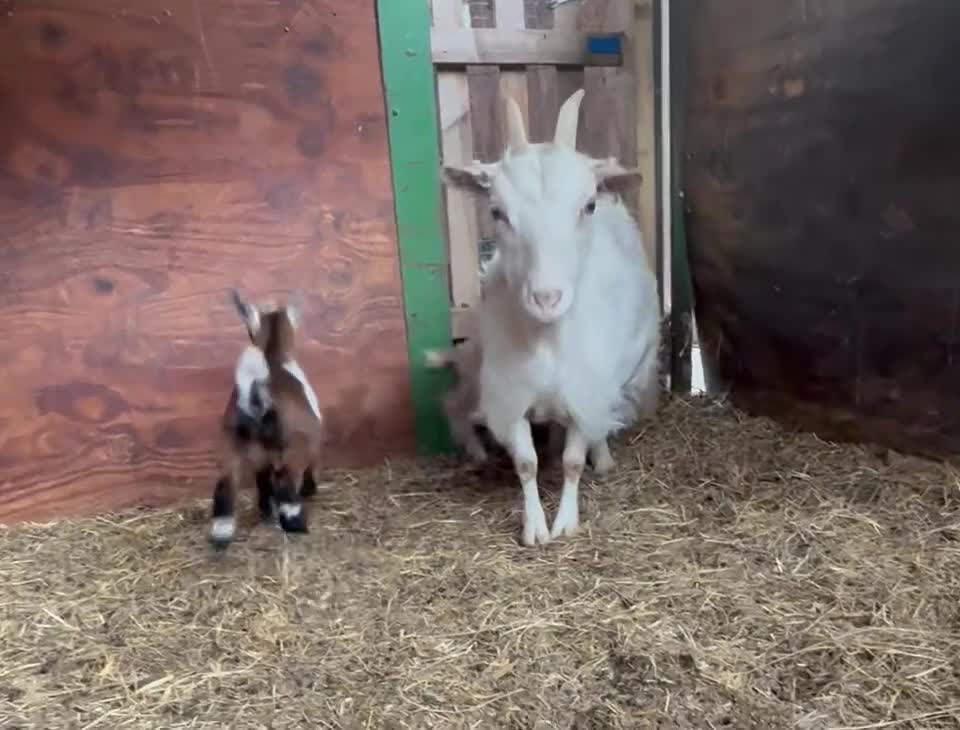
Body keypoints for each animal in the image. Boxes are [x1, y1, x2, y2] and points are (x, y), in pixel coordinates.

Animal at [208, 290, 324, 550]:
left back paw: (221, 534)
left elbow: (262, 480)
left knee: (225, 484)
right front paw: (310, 489)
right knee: (287, 485)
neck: (274, 355)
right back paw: (296, 524)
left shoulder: (261, 455)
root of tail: (256, 389)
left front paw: (265, 510)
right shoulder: (311, 440)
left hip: (234, 443)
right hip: (294, 447)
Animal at [442, 88, 660, 546]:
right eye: (497, 211)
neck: (545, 339)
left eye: (588, 205)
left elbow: (575, 459)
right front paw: (534, 527)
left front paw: (566, 522)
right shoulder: (511, 395)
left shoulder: (585, 389)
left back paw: (603, 459)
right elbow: (526, 463)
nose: (546, 298)